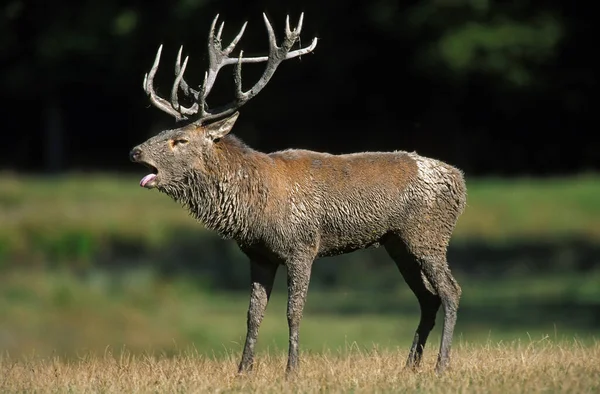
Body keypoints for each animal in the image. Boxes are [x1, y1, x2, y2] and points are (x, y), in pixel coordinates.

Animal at [131, 11, 468, 376]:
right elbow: (253, 315)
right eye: (164, 131)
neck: (253, 210)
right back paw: (409, 366)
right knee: (428, 297)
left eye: (179, 140)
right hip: (397, 242)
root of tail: (460, 181)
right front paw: (243, 370)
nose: (135, 151)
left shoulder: (301, 245)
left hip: (427, 234)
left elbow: (294, 311)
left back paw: (441, 365)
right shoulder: (259, 255)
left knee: (451, 291)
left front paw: (292, 369)